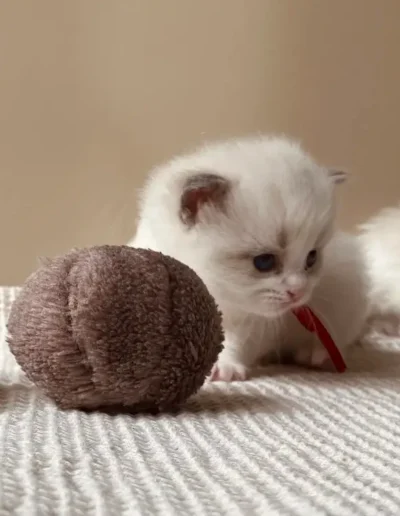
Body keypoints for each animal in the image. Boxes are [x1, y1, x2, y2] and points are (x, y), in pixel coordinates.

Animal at [130, 136, 368, 378]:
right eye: (264, 262)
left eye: (311, 258)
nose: (299, 292)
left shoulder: (256, 324)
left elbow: (235, 342)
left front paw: (224, 366)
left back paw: (314, 356)